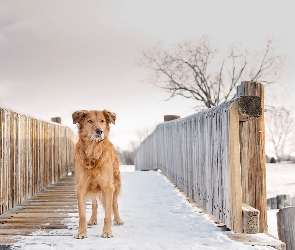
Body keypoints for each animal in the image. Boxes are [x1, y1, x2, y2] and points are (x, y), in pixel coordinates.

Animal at [73, 109, 123, 238]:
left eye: (102, 121)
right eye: (89, 121)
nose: (99, 131)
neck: (93, 152)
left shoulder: (107, 187)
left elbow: (108, 214)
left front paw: (107, 232)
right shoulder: (81, 187)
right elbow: (82, 215)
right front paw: (81, 232)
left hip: (116, 184)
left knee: (115, 204)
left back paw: (118, 220)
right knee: (94, 203)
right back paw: (93, 219)